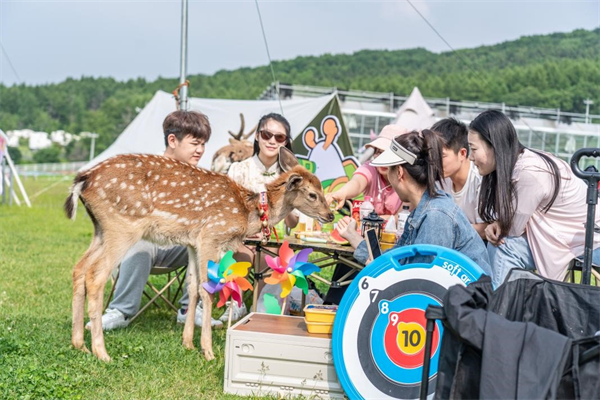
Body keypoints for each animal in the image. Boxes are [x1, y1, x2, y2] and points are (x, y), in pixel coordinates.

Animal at [65, 148, 332, 360]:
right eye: (312, 194)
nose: (330, 215)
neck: (249, 213)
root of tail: (83, 181)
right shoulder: (211, 235)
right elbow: (207, 290)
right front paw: (208, 351)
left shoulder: (192, 243)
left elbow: (193, 288)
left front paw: (188, 344)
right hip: (122, 226)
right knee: (96, 275)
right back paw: (102, 352)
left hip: (100, 229)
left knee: (79, 268)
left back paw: (79, 345)